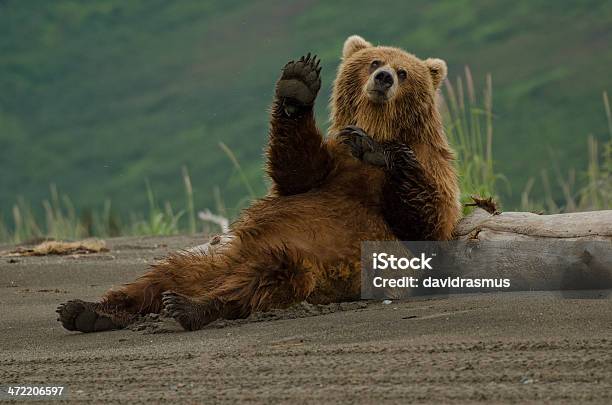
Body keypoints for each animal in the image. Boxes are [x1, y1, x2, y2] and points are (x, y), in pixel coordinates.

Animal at [56, 34, 460, 332]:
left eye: (404, 71)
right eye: (374, 62)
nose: (384, 78)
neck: (378, 125)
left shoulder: (430, 173)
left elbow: (424, 221)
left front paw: (379, 151)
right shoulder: (329, 167)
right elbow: (296, 168)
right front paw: (298, 85)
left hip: (306, 264)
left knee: (263, 279)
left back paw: (190, 306)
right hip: (209, 259)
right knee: (158, 275)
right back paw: (87, 310)